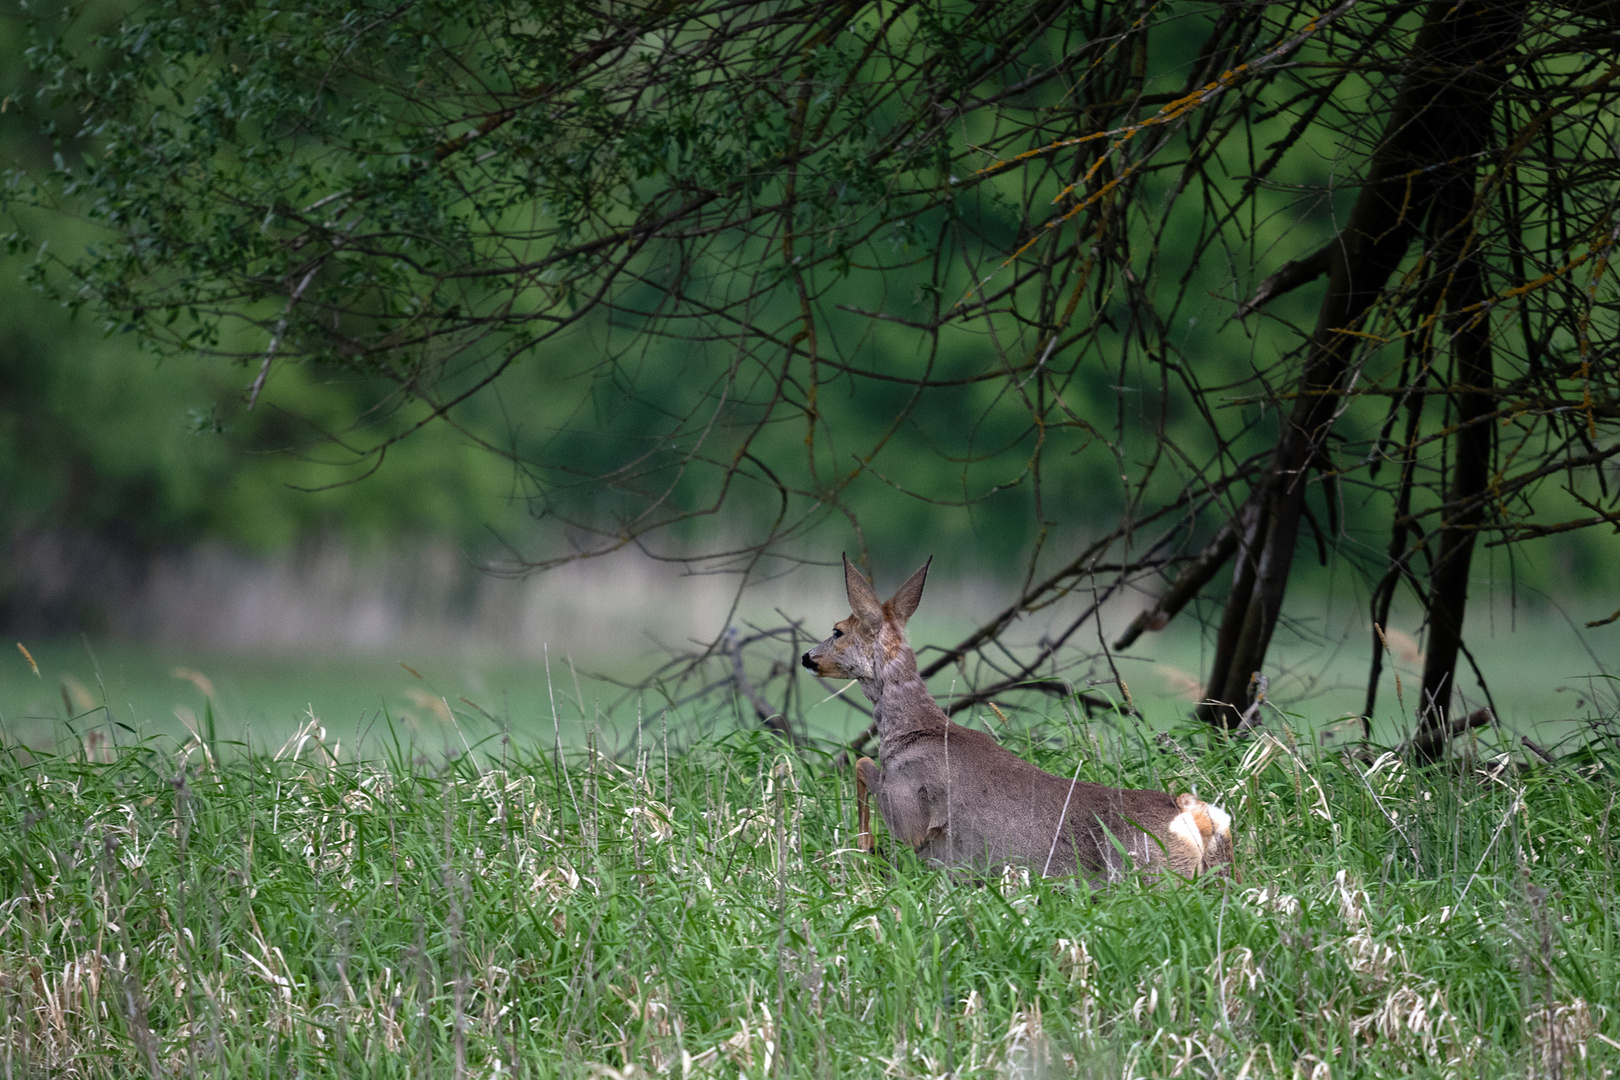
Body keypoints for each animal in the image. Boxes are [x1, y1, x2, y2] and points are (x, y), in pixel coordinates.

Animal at [800, 557, 1237, 887]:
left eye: (837, 631)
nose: (807, 657)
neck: (913, 728)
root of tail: (1193, 818)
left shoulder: (910, 809)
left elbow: (863, 764)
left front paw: (864, 848)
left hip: (1146, 873)